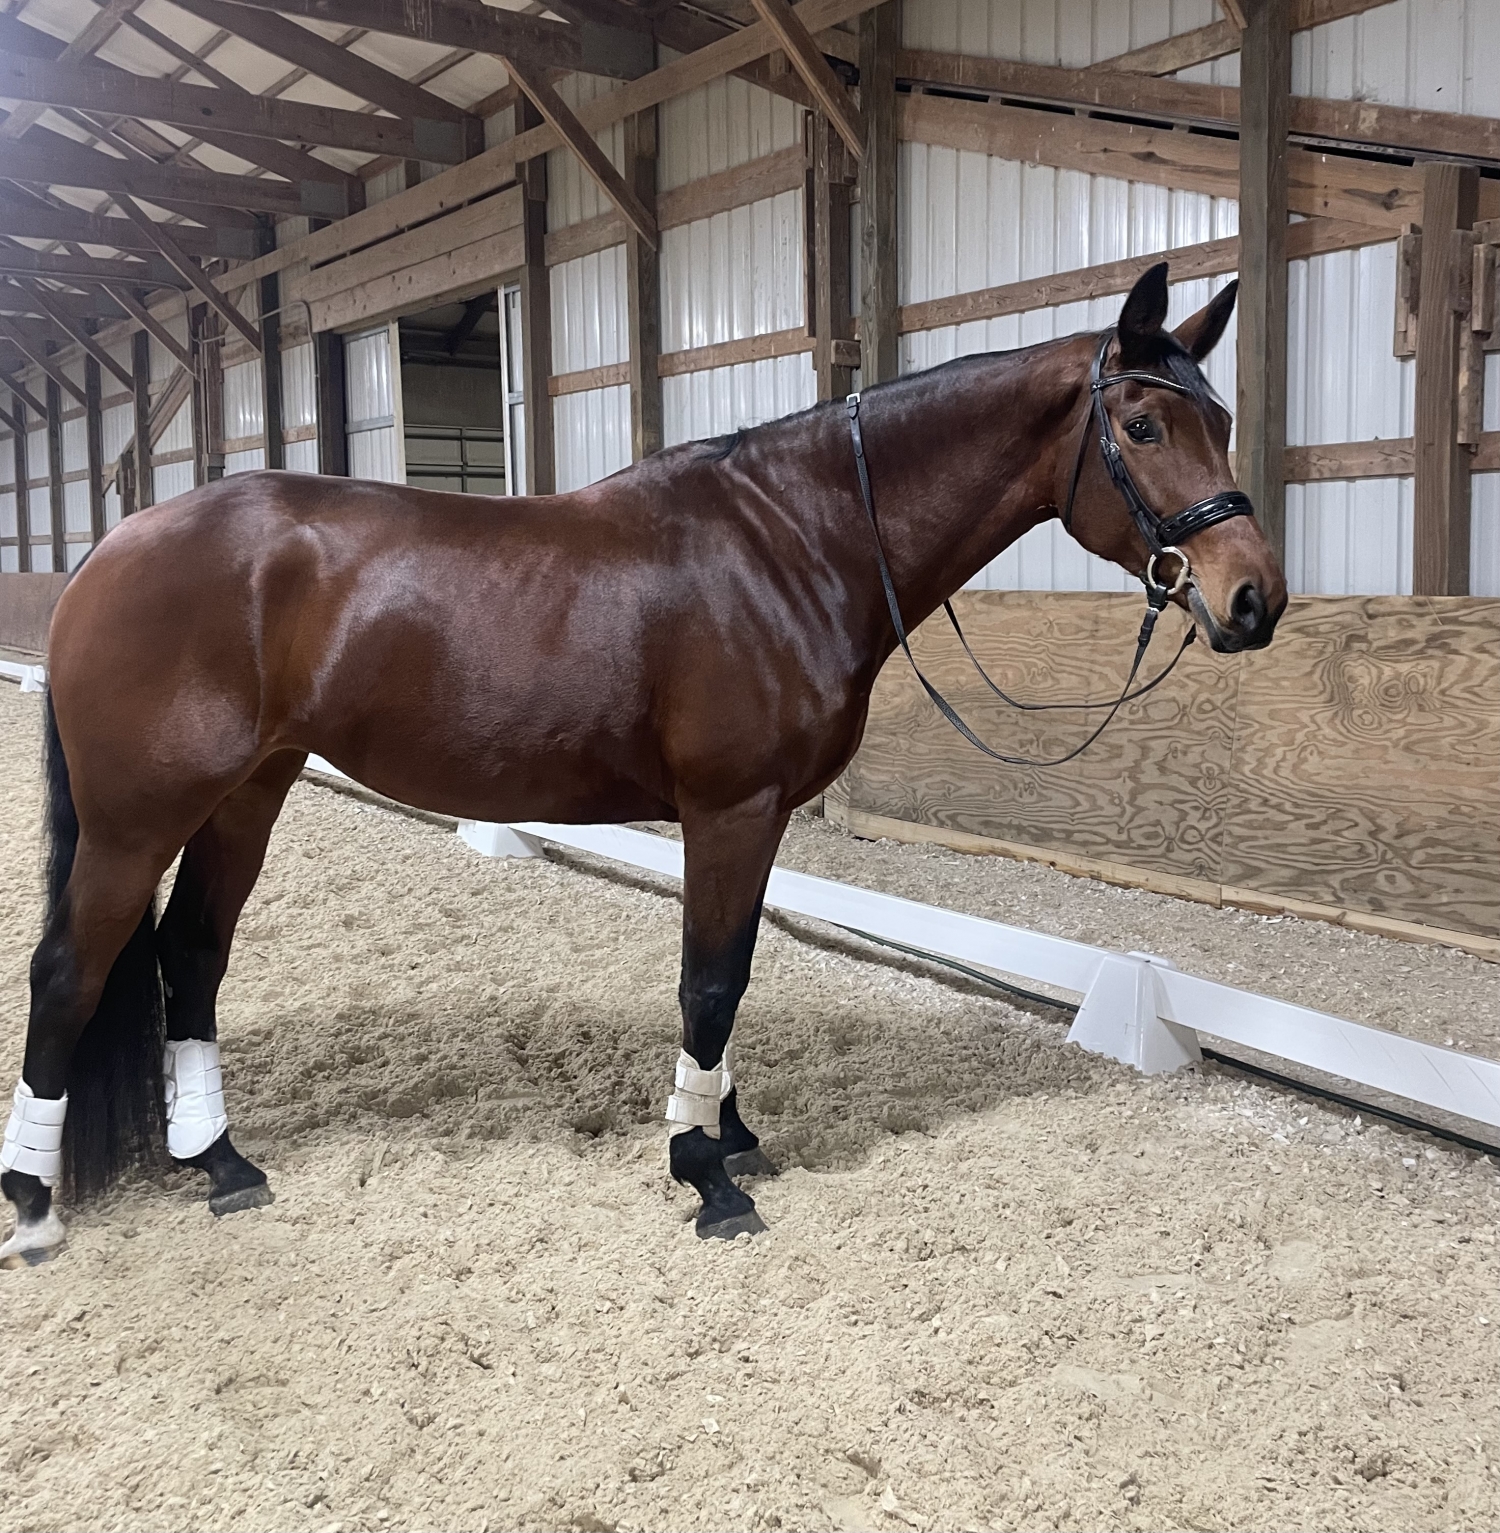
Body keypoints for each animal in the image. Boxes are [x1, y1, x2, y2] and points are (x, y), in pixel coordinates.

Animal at [0, 262, 1285, 1265]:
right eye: (1142, 427)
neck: (793, 540)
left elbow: (737, 974)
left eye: (1219, 419)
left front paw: (729, 1131)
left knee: (190, 959)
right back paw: (34, 1207)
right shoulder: (730, 808)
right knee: (72, 968)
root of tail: (108, 551)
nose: (1254, 601)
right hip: (140, 818)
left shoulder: (759, 817)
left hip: (247, 795)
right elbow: (708, 982)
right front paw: (702, 1169)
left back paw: (219, 1163)